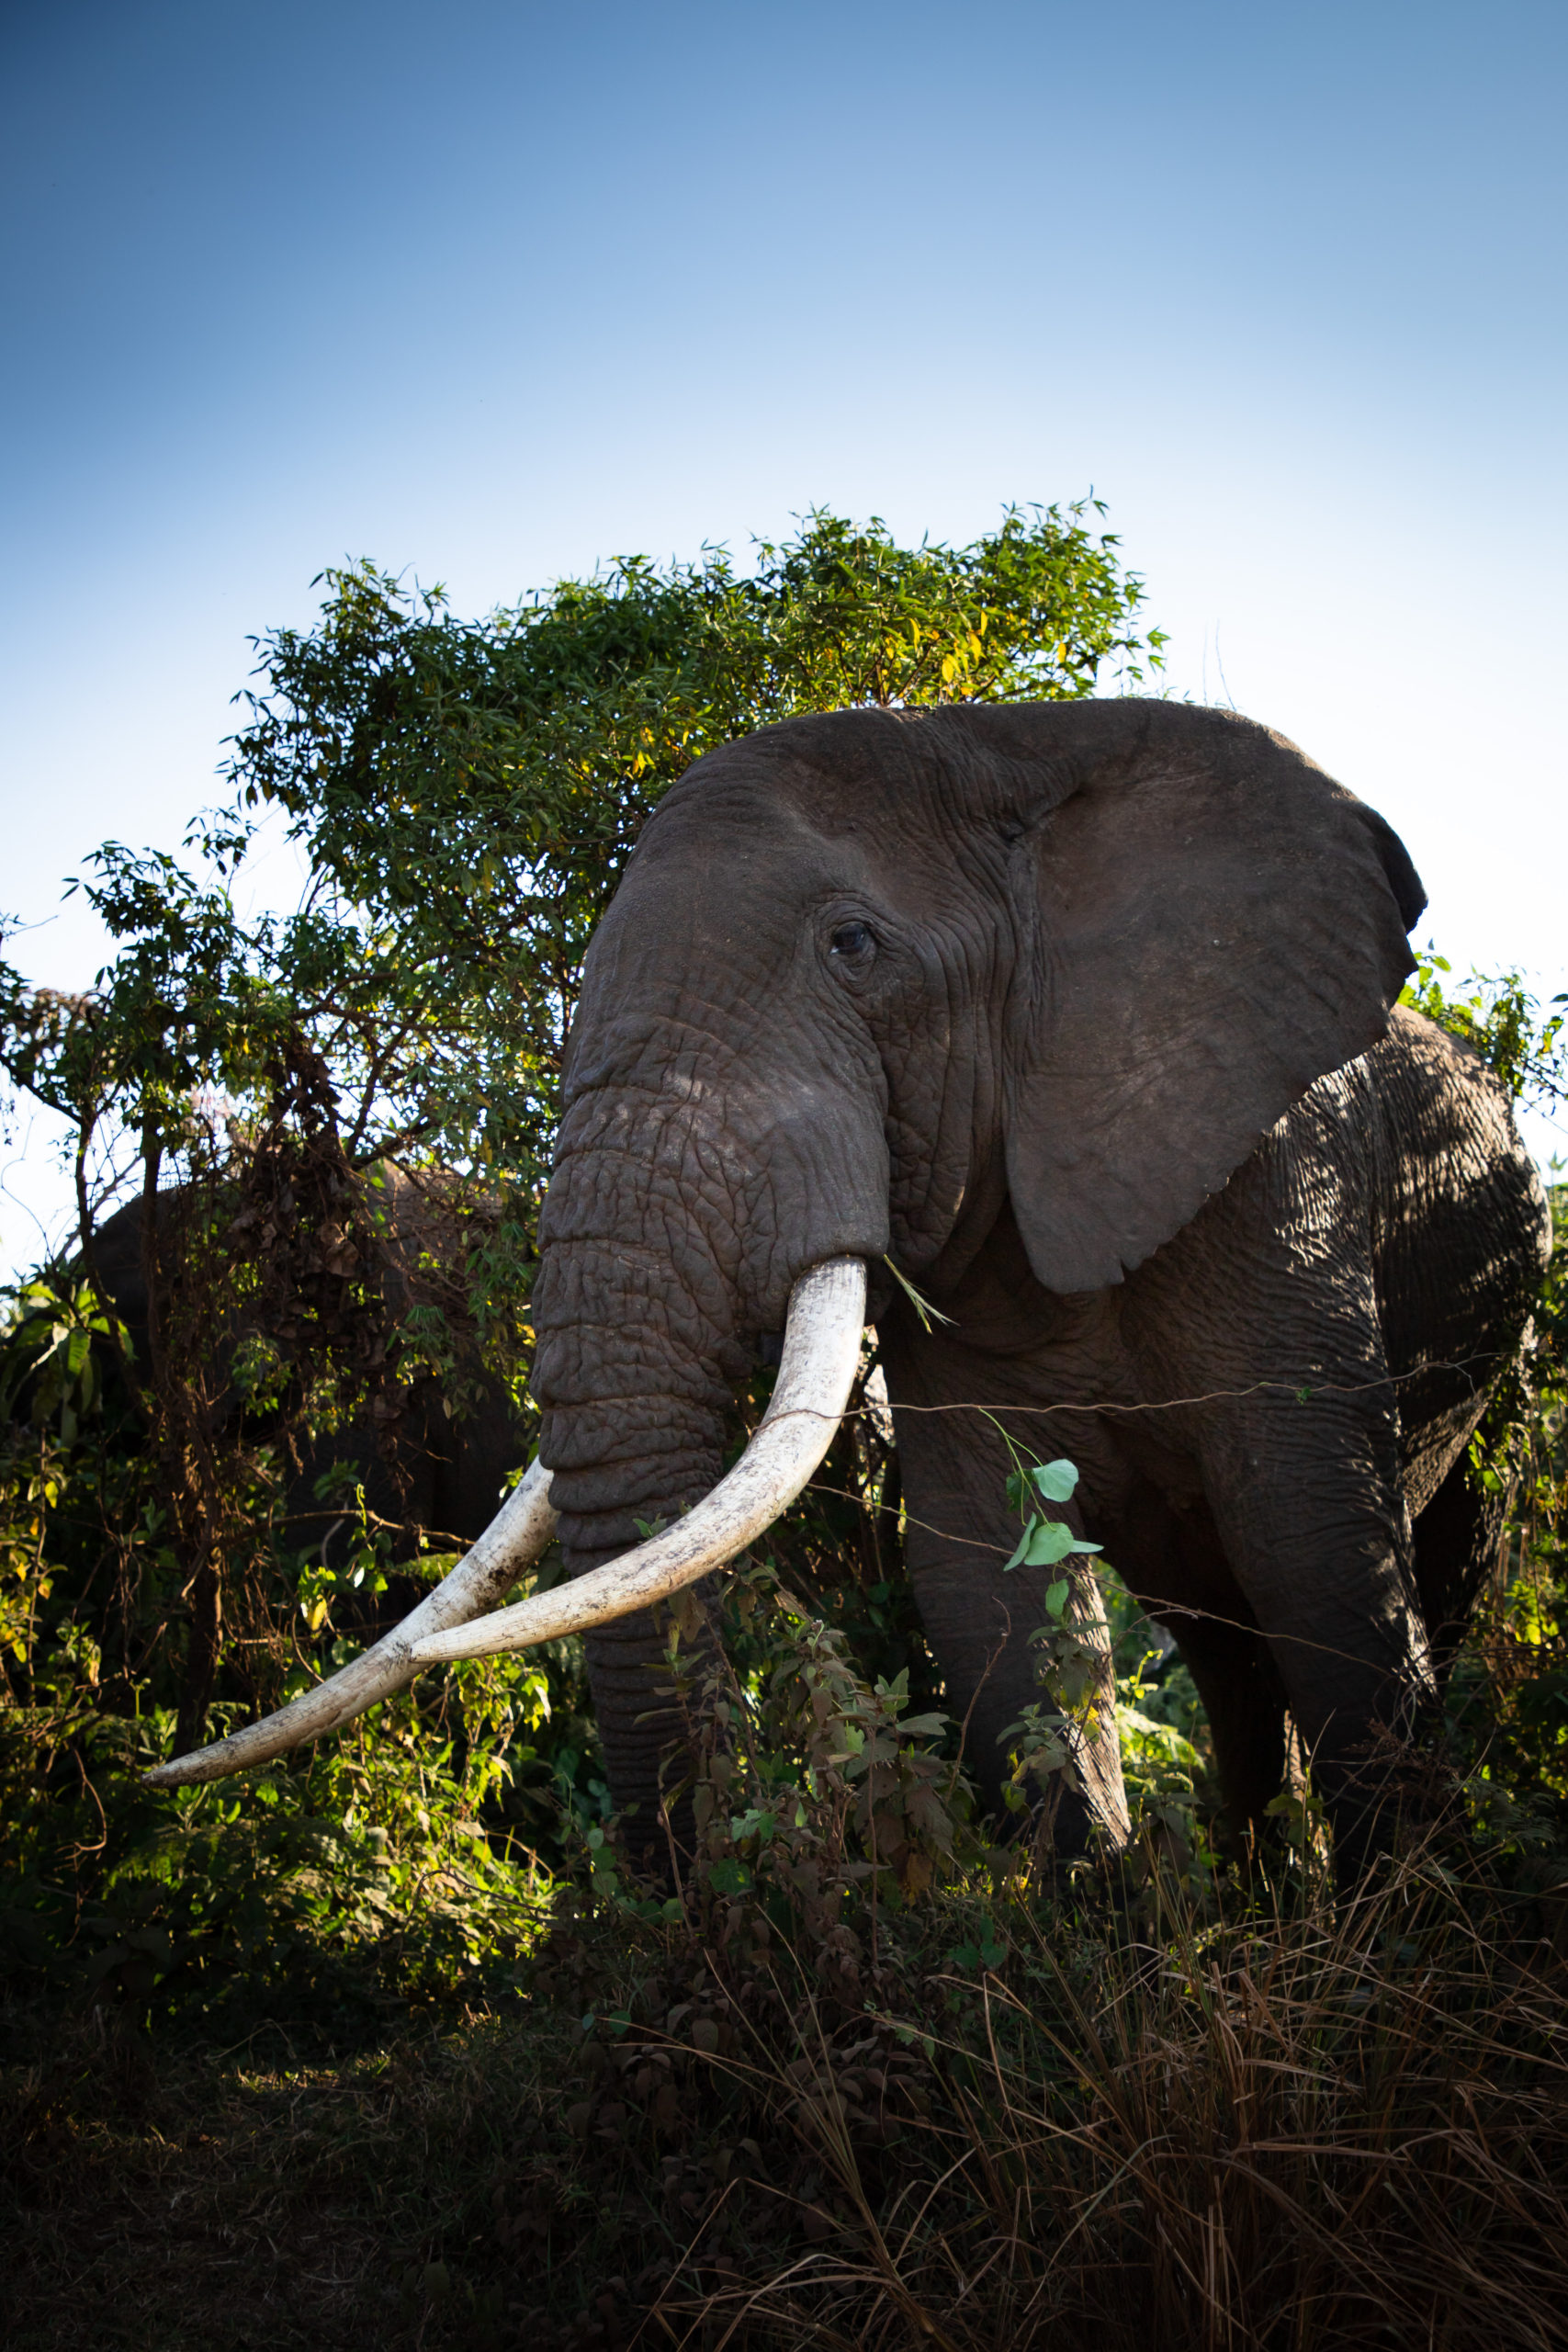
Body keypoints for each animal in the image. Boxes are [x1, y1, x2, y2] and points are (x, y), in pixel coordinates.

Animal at [152, 695, 1551, 1871]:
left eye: (853, 946)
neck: (1012, 749)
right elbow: (985, 1579)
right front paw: (1104, 1936)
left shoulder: (1276, 1189)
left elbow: (1314, 1544)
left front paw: (1401, 1937)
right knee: (1217, 1642)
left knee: (1405, 1579)